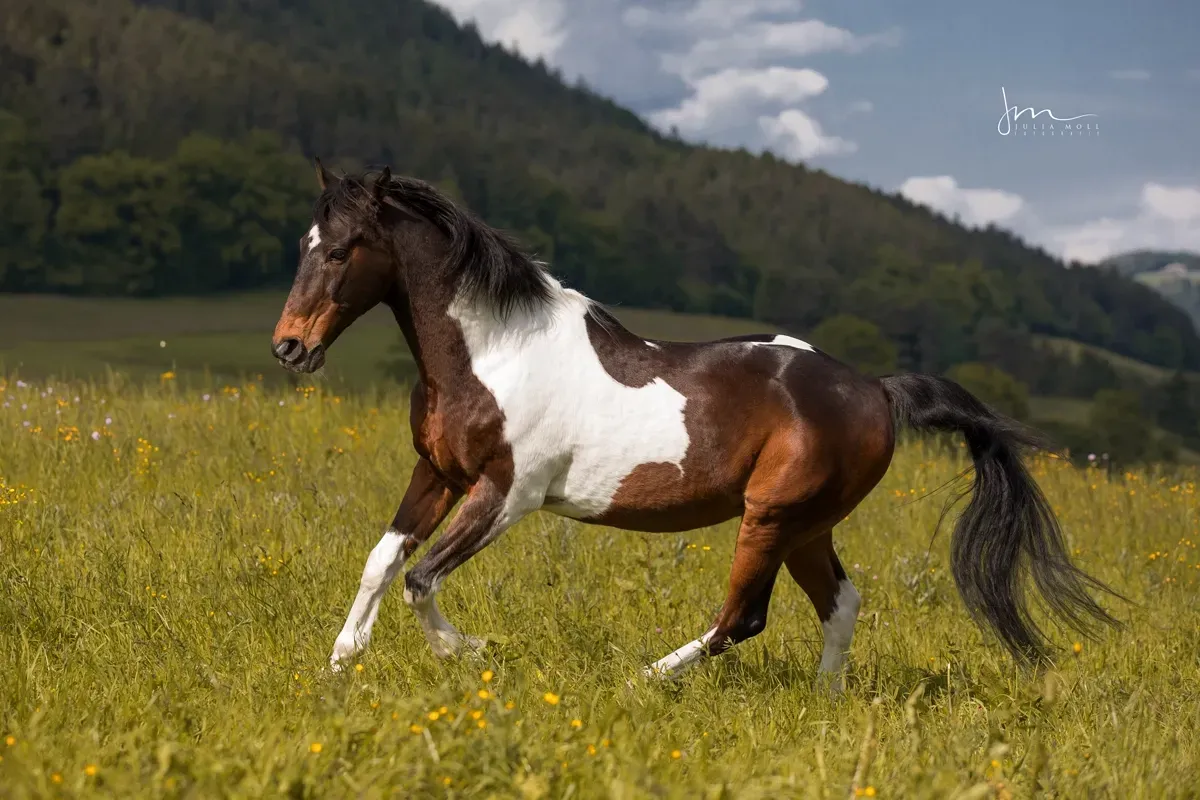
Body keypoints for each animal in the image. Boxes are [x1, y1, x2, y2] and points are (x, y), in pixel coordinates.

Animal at [271, 162, 1120, 689]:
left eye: (346, 248)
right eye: (306, 244)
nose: (290, 347)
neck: (494, 352)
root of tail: (875, 389)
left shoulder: (506, 492)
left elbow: (421, 577)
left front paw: (472, 650)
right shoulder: (439, 473)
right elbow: (382, 562)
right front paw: (340, 666)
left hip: (770, 517)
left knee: (741, 618)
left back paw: (640, 679)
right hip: (806, 525)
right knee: (840, 605)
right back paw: (825, 703)